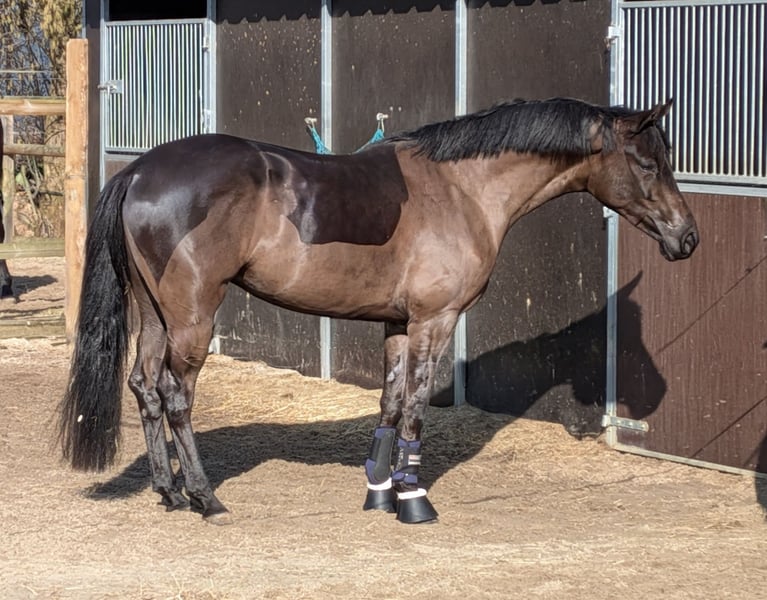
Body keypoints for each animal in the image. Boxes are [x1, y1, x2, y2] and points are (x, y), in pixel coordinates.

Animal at [58, 97, 698, 525]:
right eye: (648, 163)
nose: (686, 237)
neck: (461, 189)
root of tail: (139, 169)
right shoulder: (435, 321)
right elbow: (415, 408)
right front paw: (414, 500)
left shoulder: (396, 324)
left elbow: (390, 405)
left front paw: (381, 492)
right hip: (193, 315)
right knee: (175, 395)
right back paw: (204, 496)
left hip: (154, 314)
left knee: (143, 386)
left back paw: (168, 492)